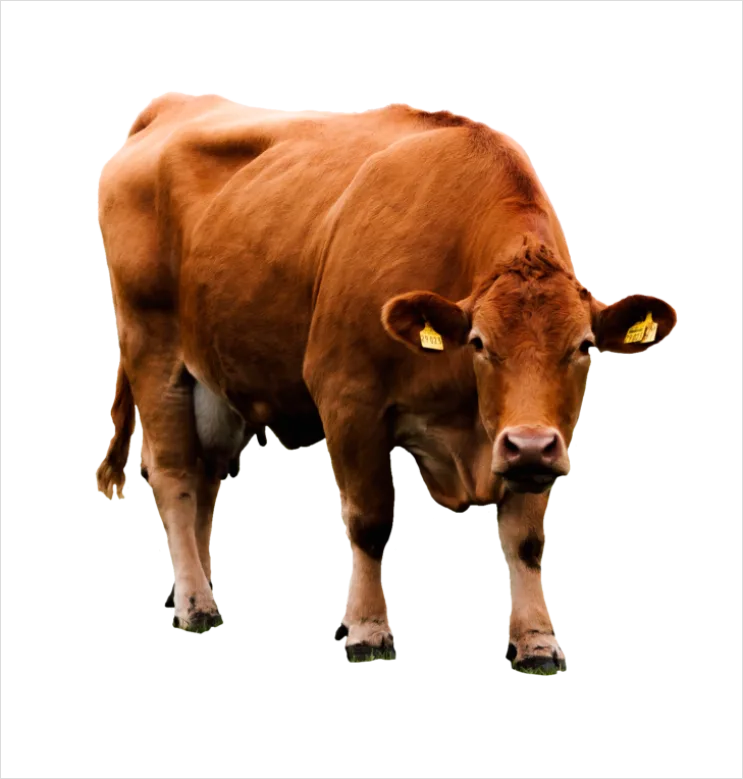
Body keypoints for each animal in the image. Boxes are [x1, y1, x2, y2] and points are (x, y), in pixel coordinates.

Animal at [96, 94, 678, 668]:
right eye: (479, 343)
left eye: (583, 346)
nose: (529, 444)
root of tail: (172, 106)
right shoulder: (348, 396)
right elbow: (370, 521)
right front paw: (369, 629)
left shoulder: (536, 439)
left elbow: (527, 537)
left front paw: (535, 639)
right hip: (153, 349)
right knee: (174, 475)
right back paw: (193, 604)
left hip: (215, 382)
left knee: (205, 480)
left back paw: (204, 595)